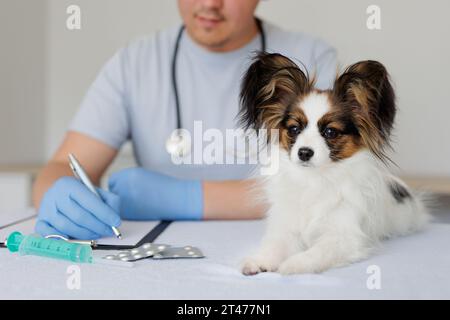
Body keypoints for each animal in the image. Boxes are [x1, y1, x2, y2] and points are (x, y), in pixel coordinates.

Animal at [239, 52, 428, 276]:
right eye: (294, 129)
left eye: (330, 132)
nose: (304, 152)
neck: (315, 178)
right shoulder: (287, 228)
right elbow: (276, 246)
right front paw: (260, 260)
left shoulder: (343, 237)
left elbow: (316, 252)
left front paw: (293, 264)